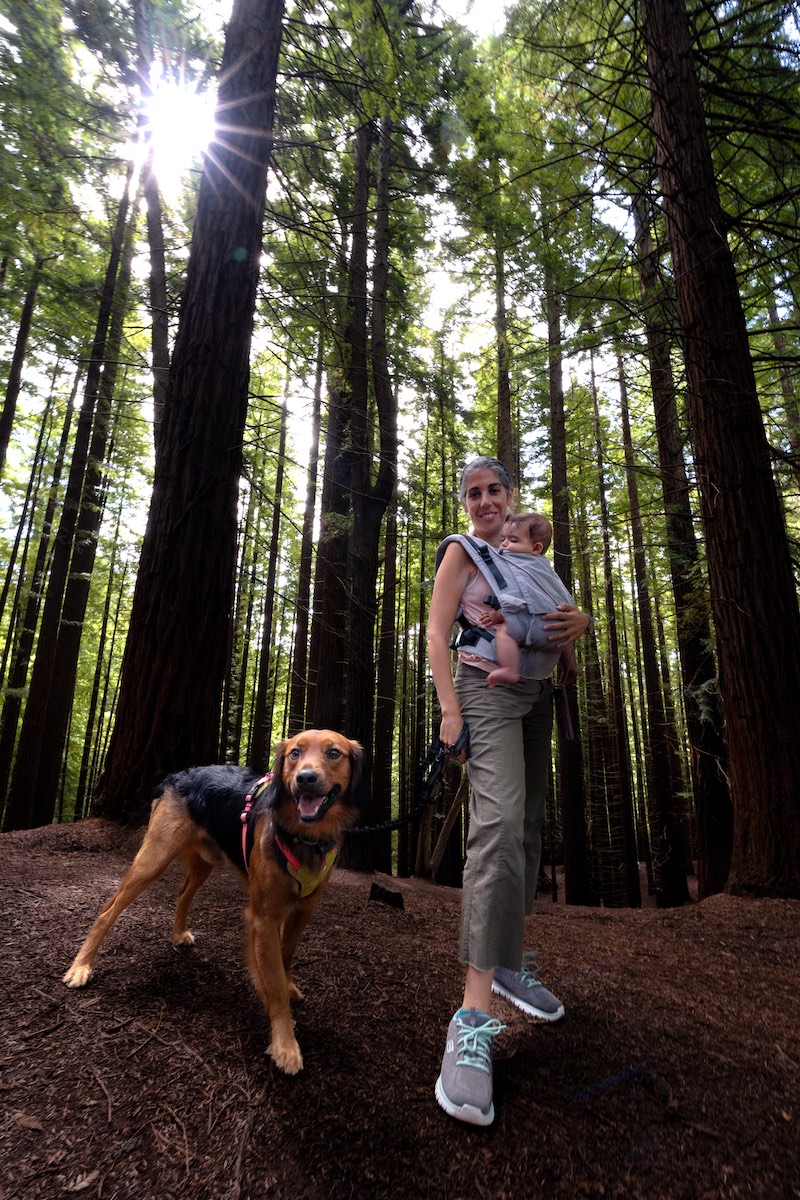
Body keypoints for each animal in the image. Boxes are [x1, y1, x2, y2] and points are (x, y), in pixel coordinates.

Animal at [64, 729, 364, 1080]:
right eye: (295, 753)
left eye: (333, 753)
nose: (305, 778)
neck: (304, 836)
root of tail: (176, 775)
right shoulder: (264, 917)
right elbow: (274, 982)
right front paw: (285, 1044)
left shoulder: (304, 910)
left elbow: (286, 956)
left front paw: (288, 986)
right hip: (153, 859)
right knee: (108, 909)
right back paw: (81, 967)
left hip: (204, 861)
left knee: (183, 894)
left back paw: (178, 934)